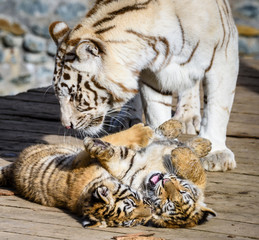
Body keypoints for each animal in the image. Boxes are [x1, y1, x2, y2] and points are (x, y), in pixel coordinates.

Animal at [48, 0, 240, 172]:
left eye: (74, 95)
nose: (66, 125)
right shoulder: (152, 74)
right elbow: (157, 111)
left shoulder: (224, 54)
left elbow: (217, 108)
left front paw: (216, 153)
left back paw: (187, 117)